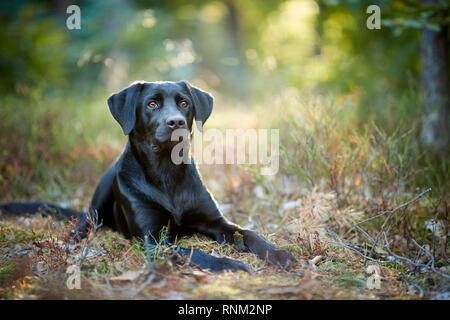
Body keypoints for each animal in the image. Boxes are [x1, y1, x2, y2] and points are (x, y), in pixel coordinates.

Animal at [1, 80, 298, 272]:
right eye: (152, 104)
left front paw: (278, 253)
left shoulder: (216, 222)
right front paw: (227, 264)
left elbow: (249, 233)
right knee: (86, 221)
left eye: (184, 103)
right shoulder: (152, 239)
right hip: (100, 198)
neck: (167, 172)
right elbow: (192, 251)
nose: (176, 122)